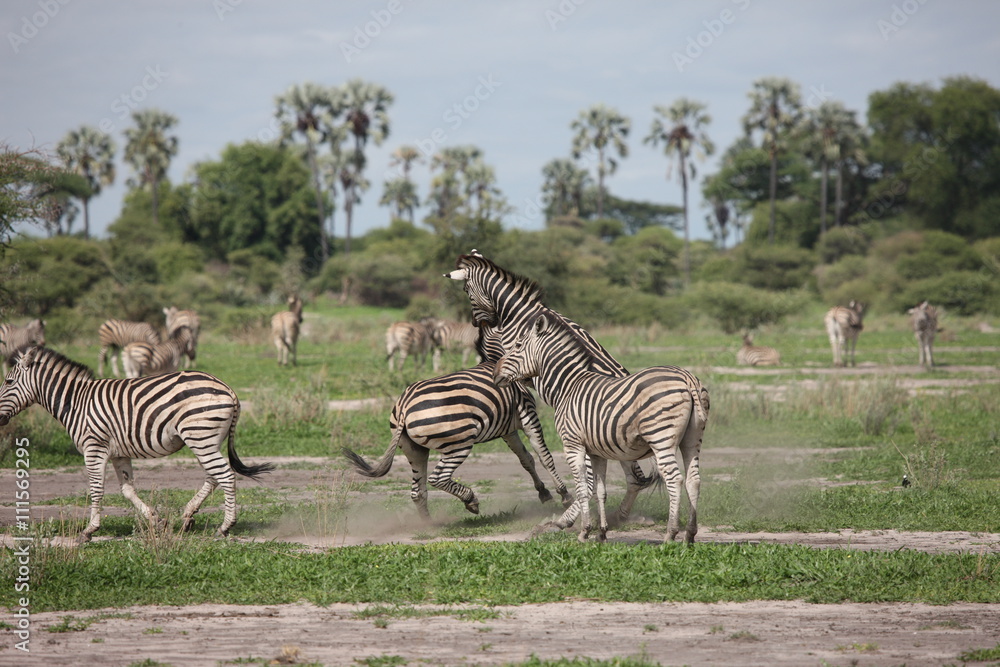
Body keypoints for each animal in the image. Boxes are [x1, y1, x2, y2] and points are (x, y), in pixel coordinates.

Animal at [0, 345, 273, 543]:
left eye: (8, 382)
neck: (76, 402)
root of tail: (228, 389)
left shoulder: (94, 447)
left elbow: (96, 489)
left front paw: (89, 531)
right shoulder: (118, 453)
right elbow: (127, 490)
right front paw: (156, 521)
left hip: (200, 435)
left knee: (225, 475)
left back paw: (225, 527)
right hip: (204, 439)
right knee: (214, 476)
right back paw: (188, 516)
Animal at [343, 323, 572, 520]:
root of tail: (404, 406)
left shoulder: (508, 430)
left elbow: (526, 459)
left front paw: (543, 492)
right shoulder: (528, 416)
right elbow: (544, 456)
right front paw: (564, 494)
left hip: (413, 448)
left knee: (418, 491)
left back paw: (429, 526)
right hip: (459, 443)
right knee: (437, 478)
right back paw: (470, 500)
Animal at [446, 250, 657, 525]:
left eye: (465, 290)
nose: (473, 323)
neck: (518, 312)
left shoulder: (520, 357)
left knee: (600, 479)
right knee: (633, 478)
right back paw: (619, 515)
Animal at [494, 311, 710, 543]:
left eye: (517, 345)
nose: (495, 372)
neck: (568, 386)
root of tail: (687, 378)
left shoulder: (573, 445)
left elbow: (582, 489)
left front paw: (584, 532)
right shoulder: (597, 452)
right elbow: (600, 491)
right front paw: (602, 533)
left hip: (661, 437)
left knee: (674, 479)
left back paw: (670, 535)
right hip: (692, 439)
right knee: (693, 480)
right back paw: (689, 535)